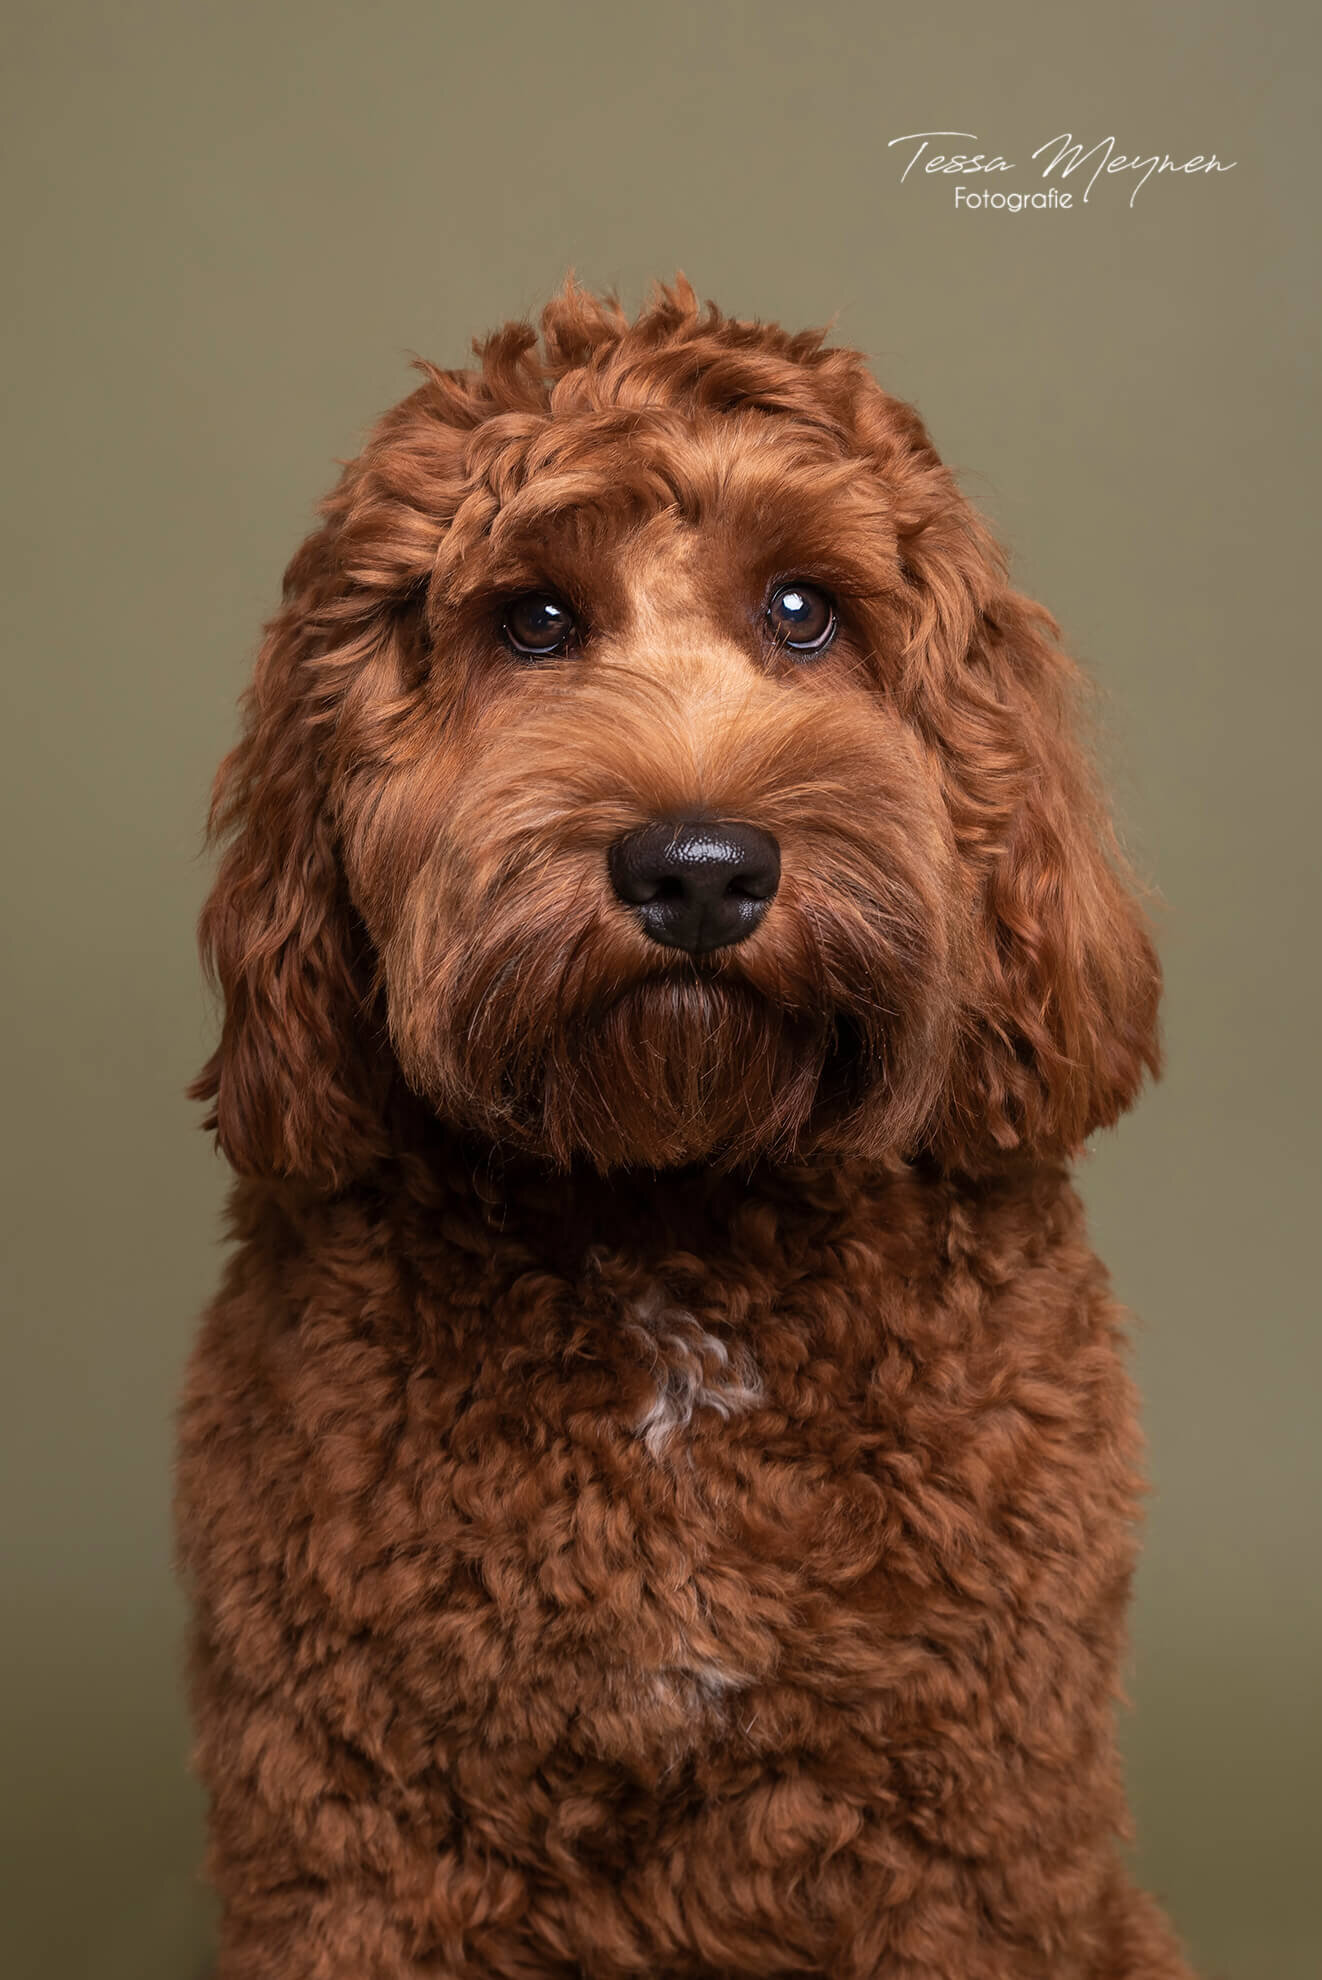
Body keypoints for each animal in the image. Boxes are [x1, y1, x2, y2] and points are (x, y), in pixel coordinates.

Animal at [170, 279, 1195, 1980]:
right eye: (531, 621)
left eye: (802, 611)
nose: (700, 868)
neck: (676, 1206)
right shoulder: (355, 1813)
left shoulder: (965, 1819)